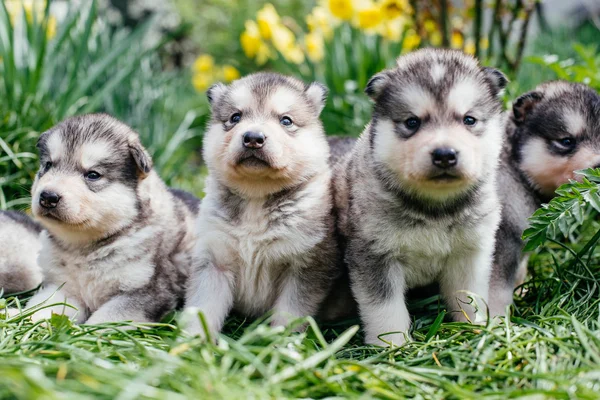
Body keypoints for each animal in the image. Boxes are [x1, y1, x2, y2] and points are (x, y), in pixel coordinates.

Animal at [21, 115, 199, 324]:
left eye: (93, 175)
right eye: (48, 165)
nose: (48, 196)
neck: (84, 248)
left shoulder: (145, 292)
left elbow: (104, 318)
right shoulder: (64, 288)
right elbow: (41, 306)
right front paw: (18, 315)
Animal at [185, 72, 340, 338]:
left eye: (286, 121)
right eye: (235, 117)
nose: (253, 138)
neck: (256, 196)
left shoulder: (304, 266)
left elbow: (289, 312)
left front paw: (281, 342)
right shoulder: (213, 260)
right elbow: (203, 307)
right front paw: (193, 341)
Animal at [336, 48, 508, 346]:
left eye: (469, 120)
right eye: (412, 122)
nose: (445, 154)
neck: (434, 209)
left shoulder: (470, 252)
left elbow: (469, 295)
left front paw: (474, 328)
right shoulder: (374, 255)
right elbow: (385, 307)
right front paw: (392, 344)